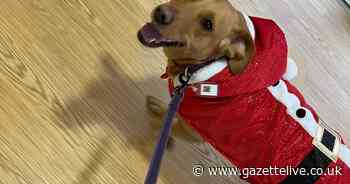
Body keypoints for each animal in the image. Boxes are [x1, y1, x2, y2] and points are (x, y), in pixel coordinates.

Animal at [137, 0, 350, 183]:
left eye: (208, 25)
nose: (161, 13)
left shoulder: (192, 132)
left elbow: (168, 125)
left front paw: (161, 136)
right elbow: (169, 113)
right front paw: (160, 109)